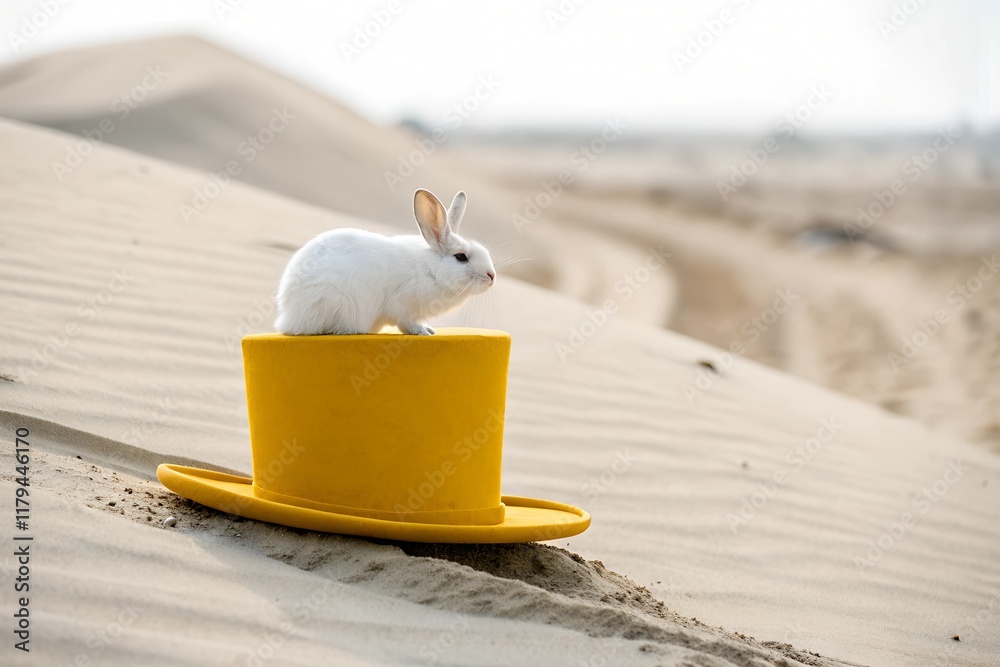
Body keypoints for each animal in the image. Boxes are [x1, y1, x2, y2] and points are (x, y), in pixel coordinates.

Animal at [274, 189, 495, 335]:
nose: (491, 276)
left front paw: (429, 329)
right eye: (461, 257)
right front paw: (424, 331)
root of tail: (287, 317)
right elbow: (406, 324)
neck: (432, 270)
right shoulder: (402, 308)